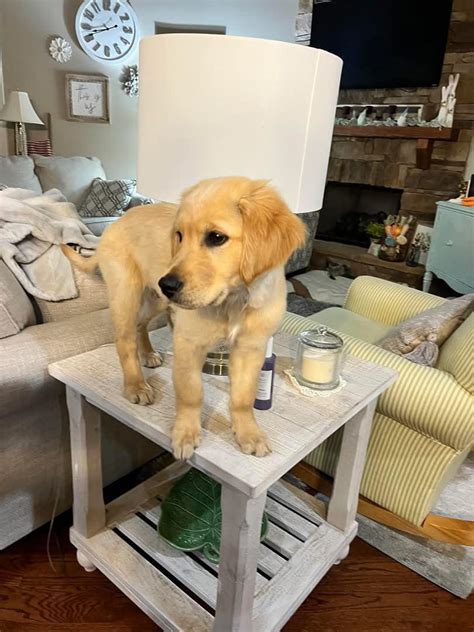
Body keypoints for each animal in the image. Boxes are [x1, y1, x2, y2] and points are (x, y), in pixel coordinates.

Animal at [63, 177, 306, 459]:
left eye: (216, 237)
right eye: (178, 236)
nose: (167, 284)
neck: (232, 301)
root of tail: (114, 225)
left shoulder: (250, 348)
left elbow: (243, 398)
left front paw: (248, 432)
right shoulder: (188, 342)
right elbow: (191, 393)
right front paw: (186, 434)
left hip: (156, 299)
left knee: (140, 324)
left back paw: (148, 354)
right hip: (128, 293)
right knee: (124, 339)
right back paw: (136, 385)